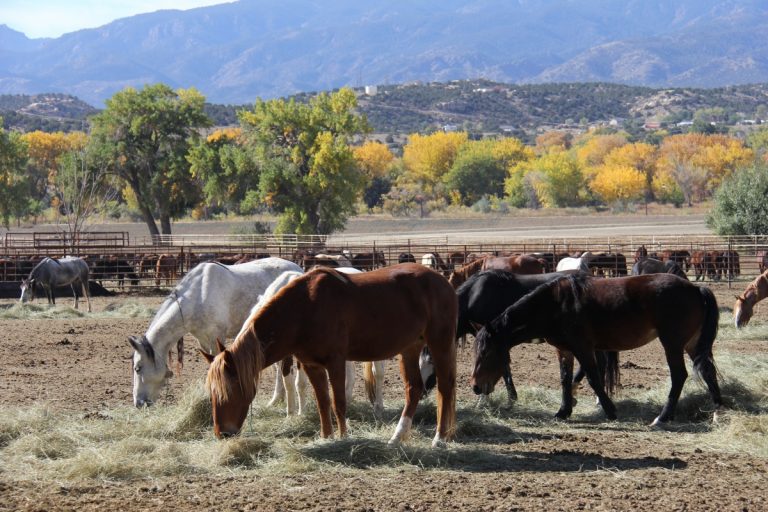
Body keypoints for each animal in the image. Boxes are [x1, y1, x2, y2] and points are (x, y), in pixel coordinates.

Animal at [128, 257, 302, 407]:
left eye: (137, 368)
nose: (138, 403)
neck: (198, 296)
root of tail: (298, 269)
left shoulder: (216, 339)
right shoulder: (204, 341)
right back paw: (276, 400)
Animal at [203, 263, 458, 447]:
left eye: (228, 390)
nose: (222, 432)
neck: (305, 309)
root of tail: (442, 281)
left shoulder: (335, 362)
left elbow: (338, 402)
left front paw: (343, 437)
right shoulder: (311, 365)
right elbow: (323, 402)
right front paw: (326, 437)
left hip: (440, 342)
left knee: (445, 386)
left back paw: (440, 439)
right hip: (410, 348)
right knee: (414, 388)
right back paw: (397, 437)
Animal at [471, 273, 722, 426]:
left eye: (487, 353)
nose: (475, 387)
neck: (555, 305)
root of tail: (695, 288)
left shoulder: (583, 348)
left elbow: (593, 378)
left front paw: (610, 411)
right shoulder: (564, 350)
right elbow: (565, 379)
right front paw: (563, 411)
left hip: (672, 343)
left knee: (679, 375)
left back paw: (662, 417)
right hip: (692, 344)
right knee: (708, 371)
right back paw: (717, 410)